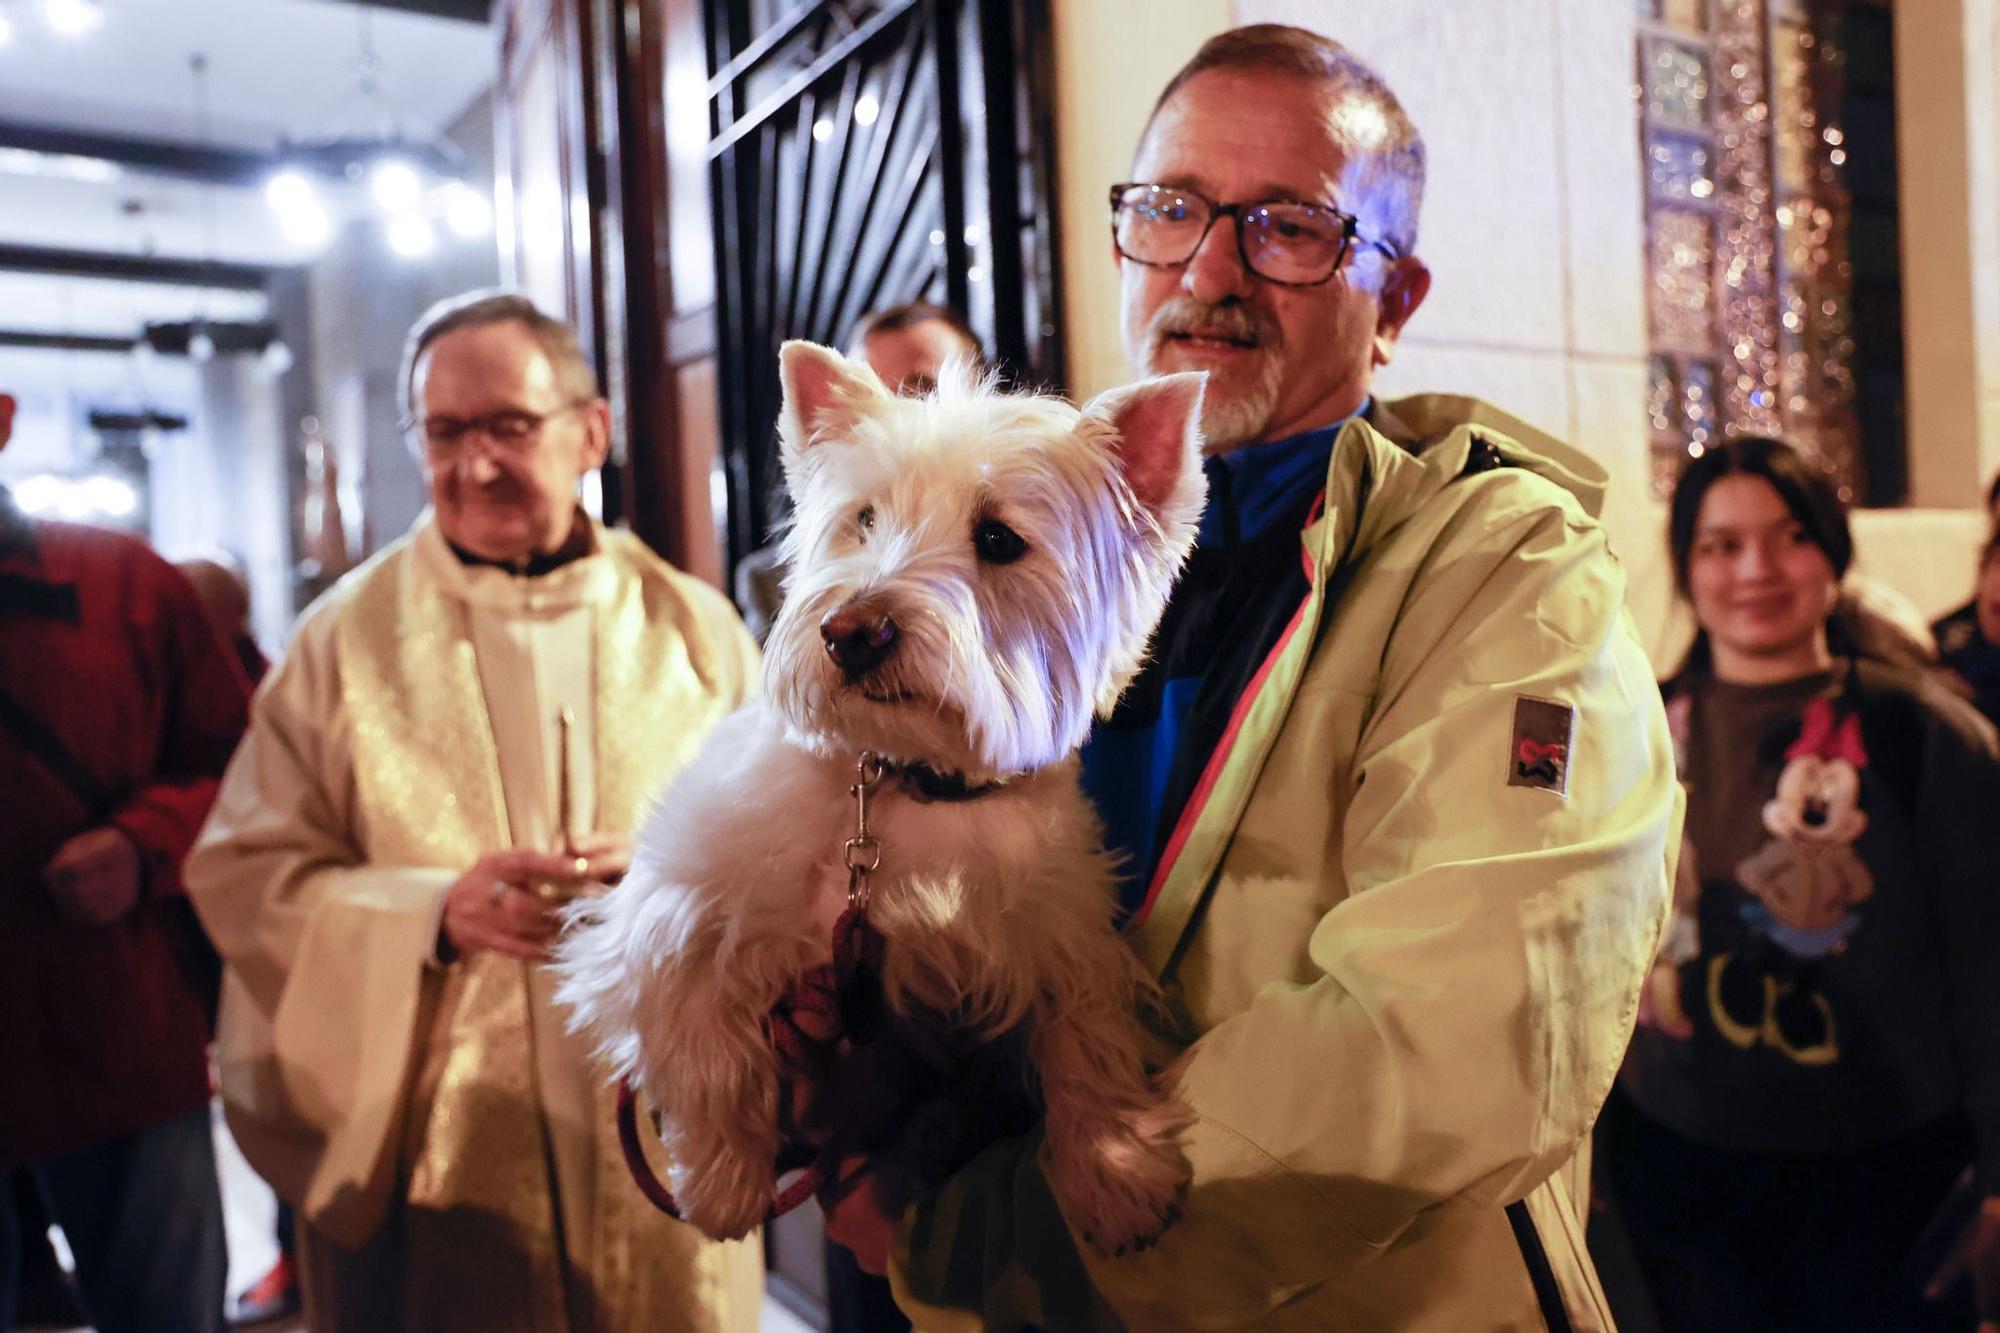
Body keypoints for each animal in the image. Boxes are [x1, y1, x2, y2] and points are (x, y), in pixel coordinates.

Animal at [548, 338, 1200, 1248]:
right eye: (863, 519)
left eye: (999, 538)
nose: (851, 633)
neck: (903, 782)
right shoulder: (665, 905)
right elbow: (700, 1026)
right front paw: (722, 1180)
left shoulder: (1058, 933)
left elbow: (1086, 1030)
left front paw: (1116, 1171)